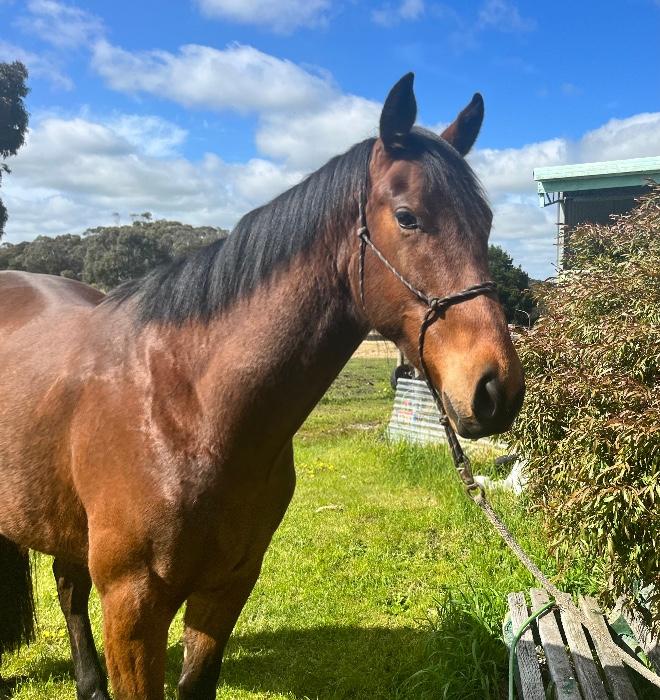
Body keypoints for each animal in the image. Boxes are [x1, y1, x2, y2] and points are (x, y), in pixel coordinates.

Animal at [0, 73, 524, 699]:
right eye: (407, 217)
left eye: (486, 222)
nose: (497, 389)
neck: (188, 410)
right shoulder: (132, 607)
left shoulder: (227, 585)